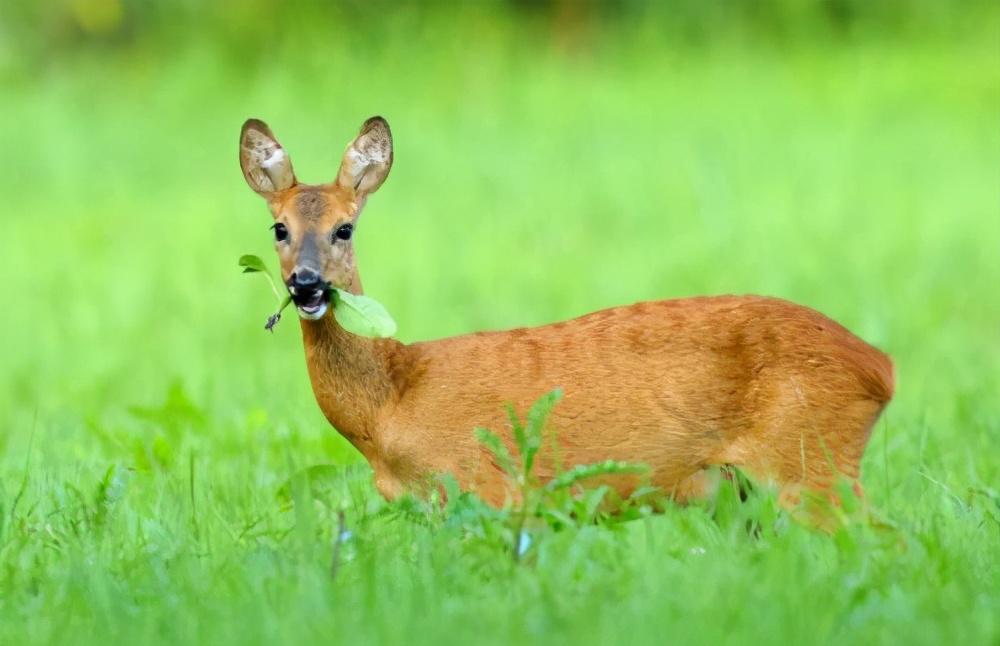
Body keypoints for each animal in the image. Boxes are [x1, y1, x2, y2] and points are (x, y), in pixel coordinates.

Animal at [238, 115, 896, 512]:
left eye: (344, 228)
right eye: (279, 228)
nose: (306, 284)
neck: (391, 405)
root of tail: (880, 368)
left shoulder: (490, 490)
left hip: (810, 459)